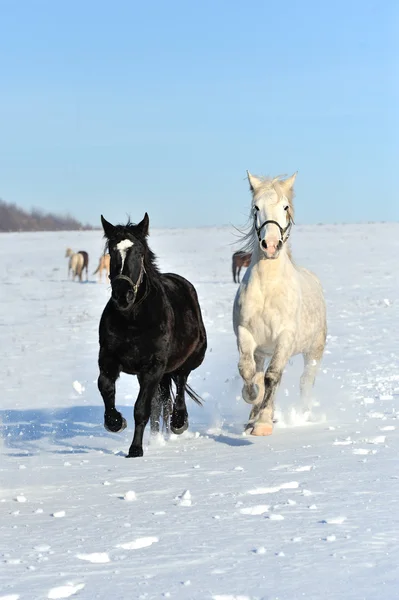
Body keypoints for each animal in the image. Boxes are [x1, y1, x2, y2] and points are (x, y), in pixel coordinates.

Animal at [98, 213, 208, 458]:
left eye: (139, 252)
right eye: (111, 250)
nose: (122, 295)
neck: (133, 320)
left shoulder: (153, 367)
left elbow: (141, 408)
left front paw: (135, 449)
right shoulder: (109, 359)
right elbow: (105, 386)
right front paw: (115, 422)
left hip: (185, 361)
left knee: (180, 384)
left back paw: (178, 423)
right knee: (161, 402)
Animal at [233, 172, 326, 436]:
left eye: (285, 207)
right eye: (256, 207)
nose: (271, 245)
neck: (268, 288)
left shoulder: (285, 337)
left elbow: (272, 377)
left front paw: (263, 423)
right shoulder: (246, 334)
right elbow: (248, 371)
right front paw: (253, 400)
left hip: (314, 350)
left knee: (305, 381)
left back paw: (303, 413)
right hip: (264, 350)